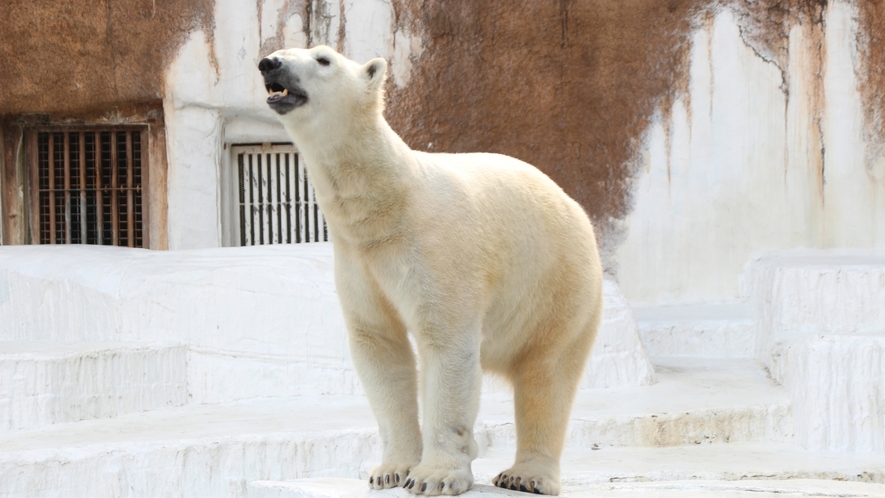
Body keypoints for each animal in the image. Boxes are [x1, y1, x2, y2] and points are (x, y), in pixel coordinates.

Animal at [256, 45, 600, 494]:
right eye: (279, 50)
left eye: (324, 59)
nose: (270, 63)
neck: (388, 204)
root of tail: (577, 209)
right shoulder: (358, 260)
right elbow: (380, 346)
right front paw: (391, 470)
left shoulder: (437, 249)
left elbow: (447, 343)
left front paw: (433, 476)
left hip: (557, 282)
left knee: (547, 374)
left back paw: (525, 476)